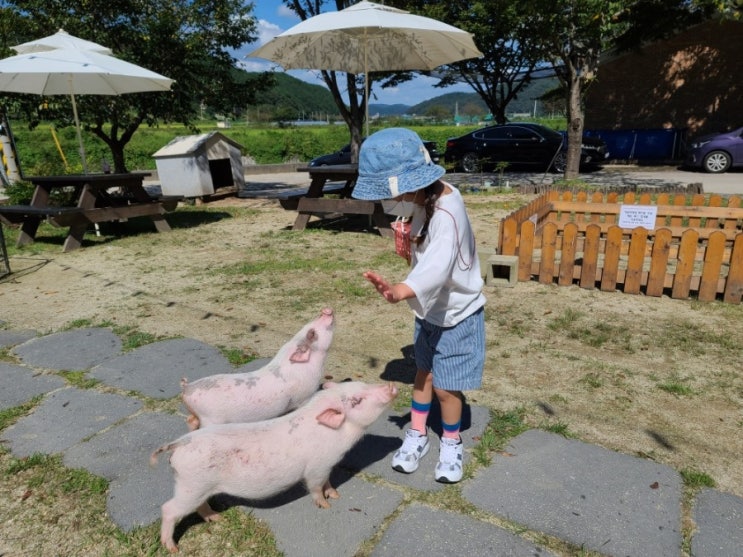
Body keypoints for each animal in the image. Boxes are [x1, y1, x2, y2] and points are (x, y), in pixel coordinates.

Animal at [149, 378, 398, 552]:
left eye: (363, 384)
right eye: (357, 401)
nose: (392, 386)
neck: (337, 436)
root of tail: (179, 444)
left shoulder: (328, 466)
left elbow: (328, 482)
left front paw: (335, 495)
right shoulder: (317, 466)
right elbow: (316, 486)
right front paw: (327, 505)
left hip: (198, 488)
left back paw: (217, 518)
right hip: (191, 485)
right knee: (168, 509)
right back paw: (172, 548)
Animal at [180, 304, 334, 430]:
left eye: (306, 327)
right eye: (312, 333)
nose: (325, 310)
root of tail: (187, 388)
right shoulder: (304, 397)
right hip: (210, 419)